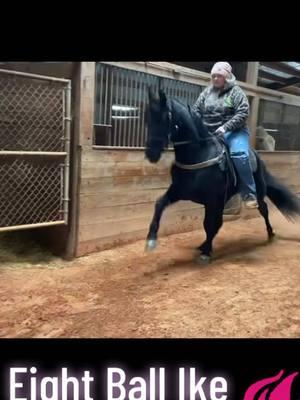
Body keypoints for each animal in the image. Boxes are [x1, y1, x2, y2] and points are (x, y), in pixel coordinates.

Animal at [144, 88, 300, 262]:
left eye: (165, 118)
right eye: (147, 118)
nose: (151, 153)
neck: (199, 154)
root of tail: (257, 157)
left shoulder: (213, 200)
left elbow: (210, 224)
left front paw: (206, 252)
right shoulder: (179, 191)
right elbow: (159, 204)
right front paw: (151, 240)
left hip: (257, 192)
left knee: (263, 210)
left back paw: (271, 234)